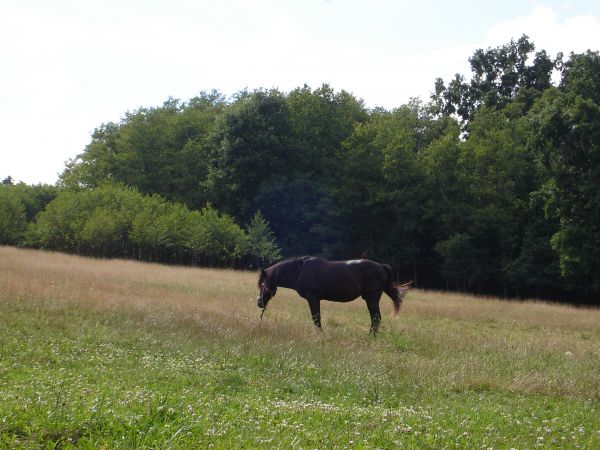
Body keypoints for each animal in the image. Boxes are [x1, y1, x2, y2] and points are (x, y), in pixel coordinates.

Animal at [255, 255, 410, 332]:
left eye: (262, 284)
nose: (259, 302)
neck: (299, 271)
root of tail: (381, 267)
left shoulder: (312, 298)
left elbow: (316, 319)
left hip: (371, 299)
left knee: (376, 318)